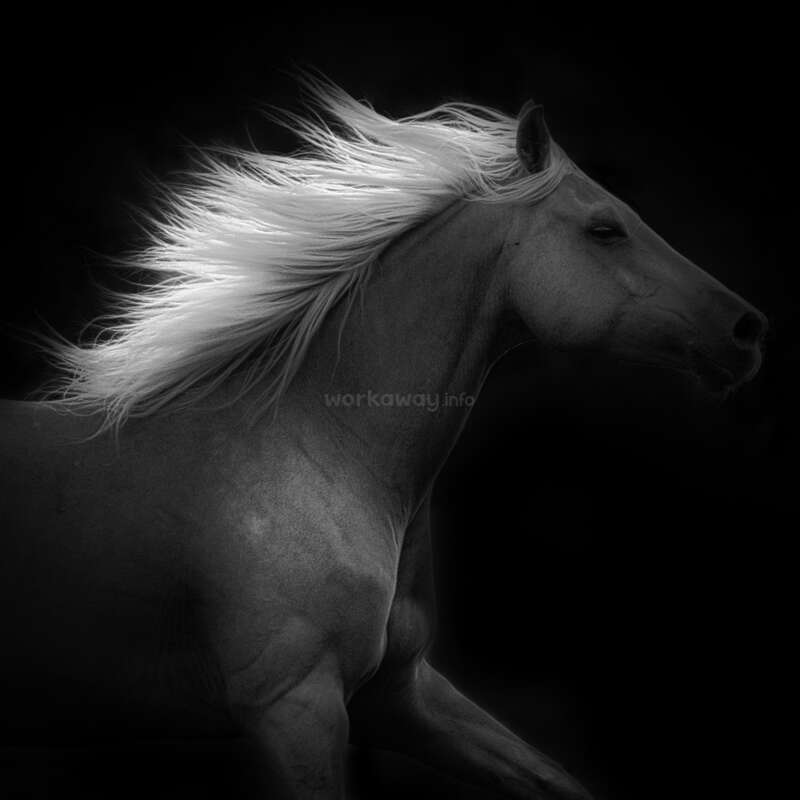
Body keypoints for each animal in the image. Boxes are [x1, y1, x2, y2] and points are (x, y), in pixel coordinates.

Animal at [0, 77, 767, 799]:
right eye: (605, 228)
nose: (748, 329)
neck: (314, 451)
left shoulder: (402, 695)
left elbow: (552, 779)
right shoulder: (294, 706)